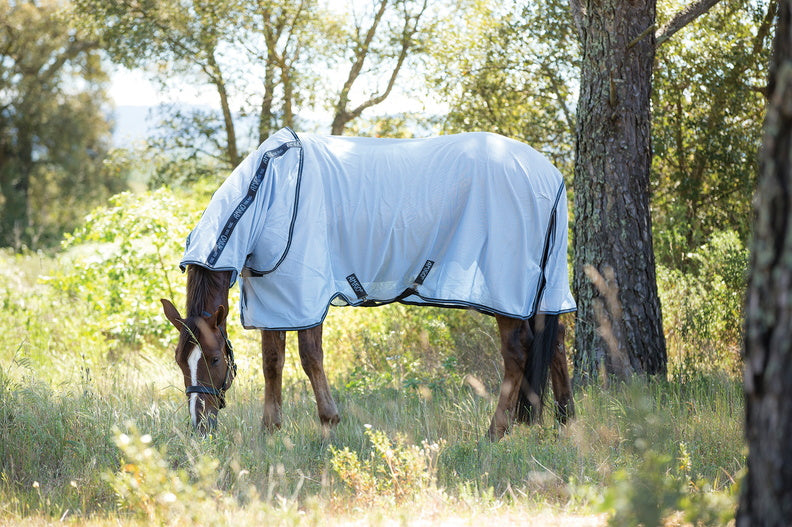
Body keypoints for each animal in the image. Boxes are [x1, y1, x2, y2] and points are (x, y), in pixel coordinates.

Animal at [164, 129, 580, 442]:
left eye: (213, 359)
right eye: (180, 361)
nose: (200, 426)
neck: (269, 191)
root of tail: (550, 175)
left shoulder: (304, 290)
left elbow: (309, 356)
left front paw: (328, 423)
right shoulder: (275, 296)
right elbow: (272, 361)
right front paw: (271, 430)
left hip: (506, 287)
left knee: (517, 351)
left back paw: (495, 432)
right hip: (543, 288)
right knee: (556, 340)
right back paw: (566, 423)